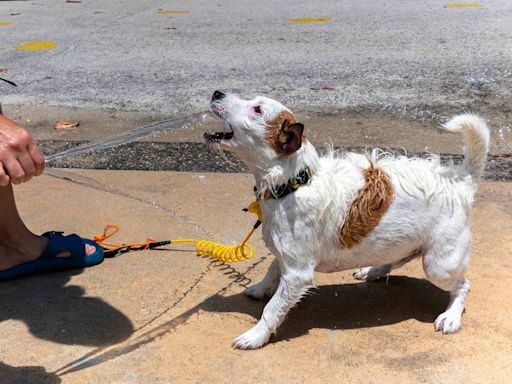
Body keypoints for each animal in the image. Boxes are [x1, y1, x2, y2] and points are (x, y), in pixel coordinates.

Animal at [203, 89, 488, 348]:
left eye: (257, 109)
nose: (217, 93)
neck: (294, 183)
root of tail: (460, 181)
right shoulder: (287, 258)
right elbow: (273, 268)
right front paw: (261, 288)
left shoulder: (298, 274)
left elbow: (273, 309)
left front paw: (255, 336)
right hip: (403, 243)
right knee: (397, 258)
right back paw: (373, 270)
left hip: (439, 265)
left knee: (463, 286)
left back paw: (451, 317)